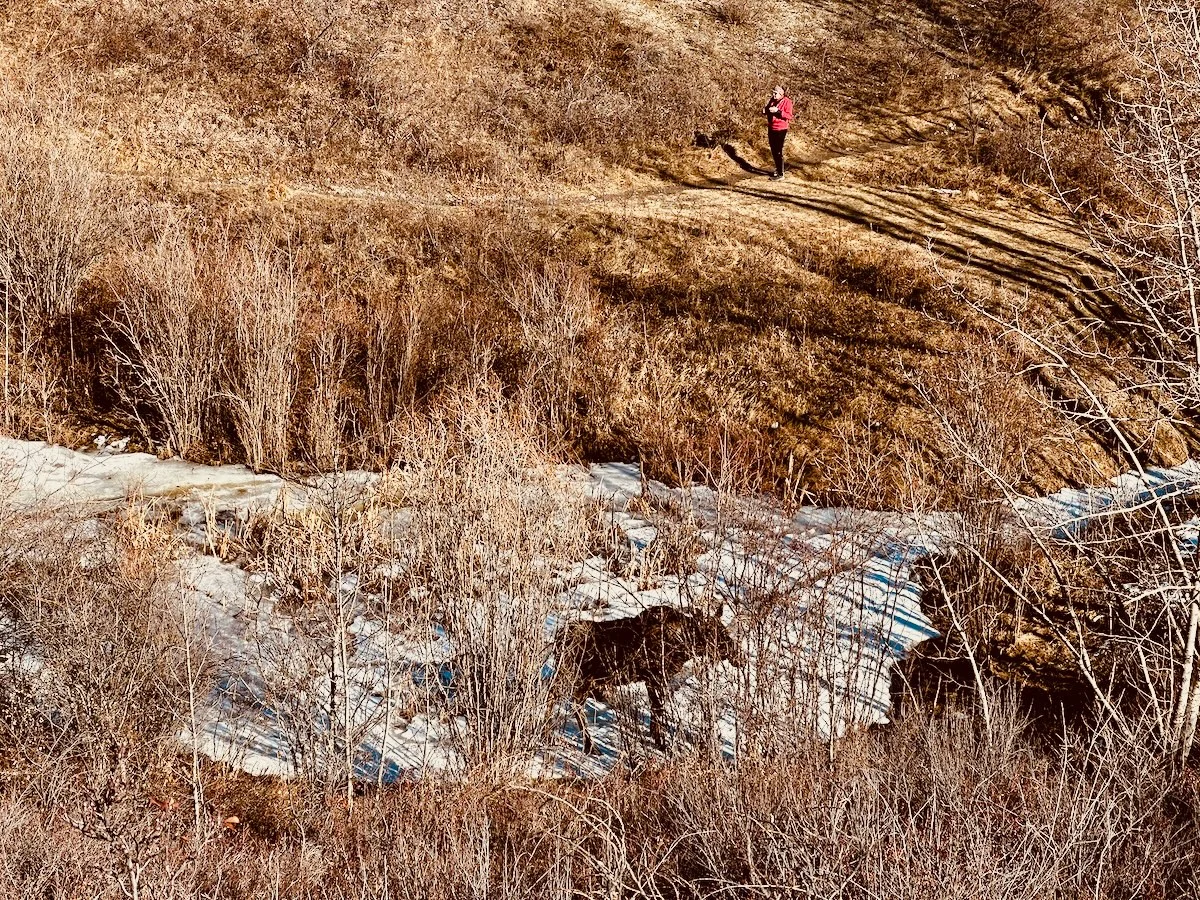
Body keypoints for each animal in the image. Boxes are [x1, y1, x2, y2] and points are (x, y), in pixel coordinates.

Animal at [556, 604, 743, 754]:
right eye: (718, 634)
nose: (738, 655)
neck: (683, 647)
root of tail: (558, 640)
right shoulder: (655, 677)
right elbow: (658, 710)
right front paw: (661, 742)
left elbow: (656, 710)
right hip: (577, 678)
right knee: (571, 703)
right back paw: (590, 746)